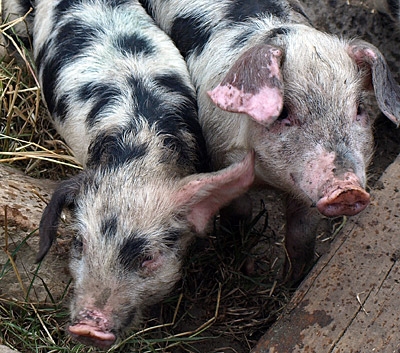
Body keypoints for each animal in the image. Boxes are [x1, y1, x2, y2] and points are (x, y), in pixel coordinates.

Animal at [139, 0, 400, 280]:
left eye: (360, 109)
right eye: (283, 112)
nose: (347, 190)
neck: (268, 178)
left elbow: (301, 235)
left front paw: (292, 280)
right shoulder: (220, 155)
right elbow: (239, 211)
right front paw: (243, 263)